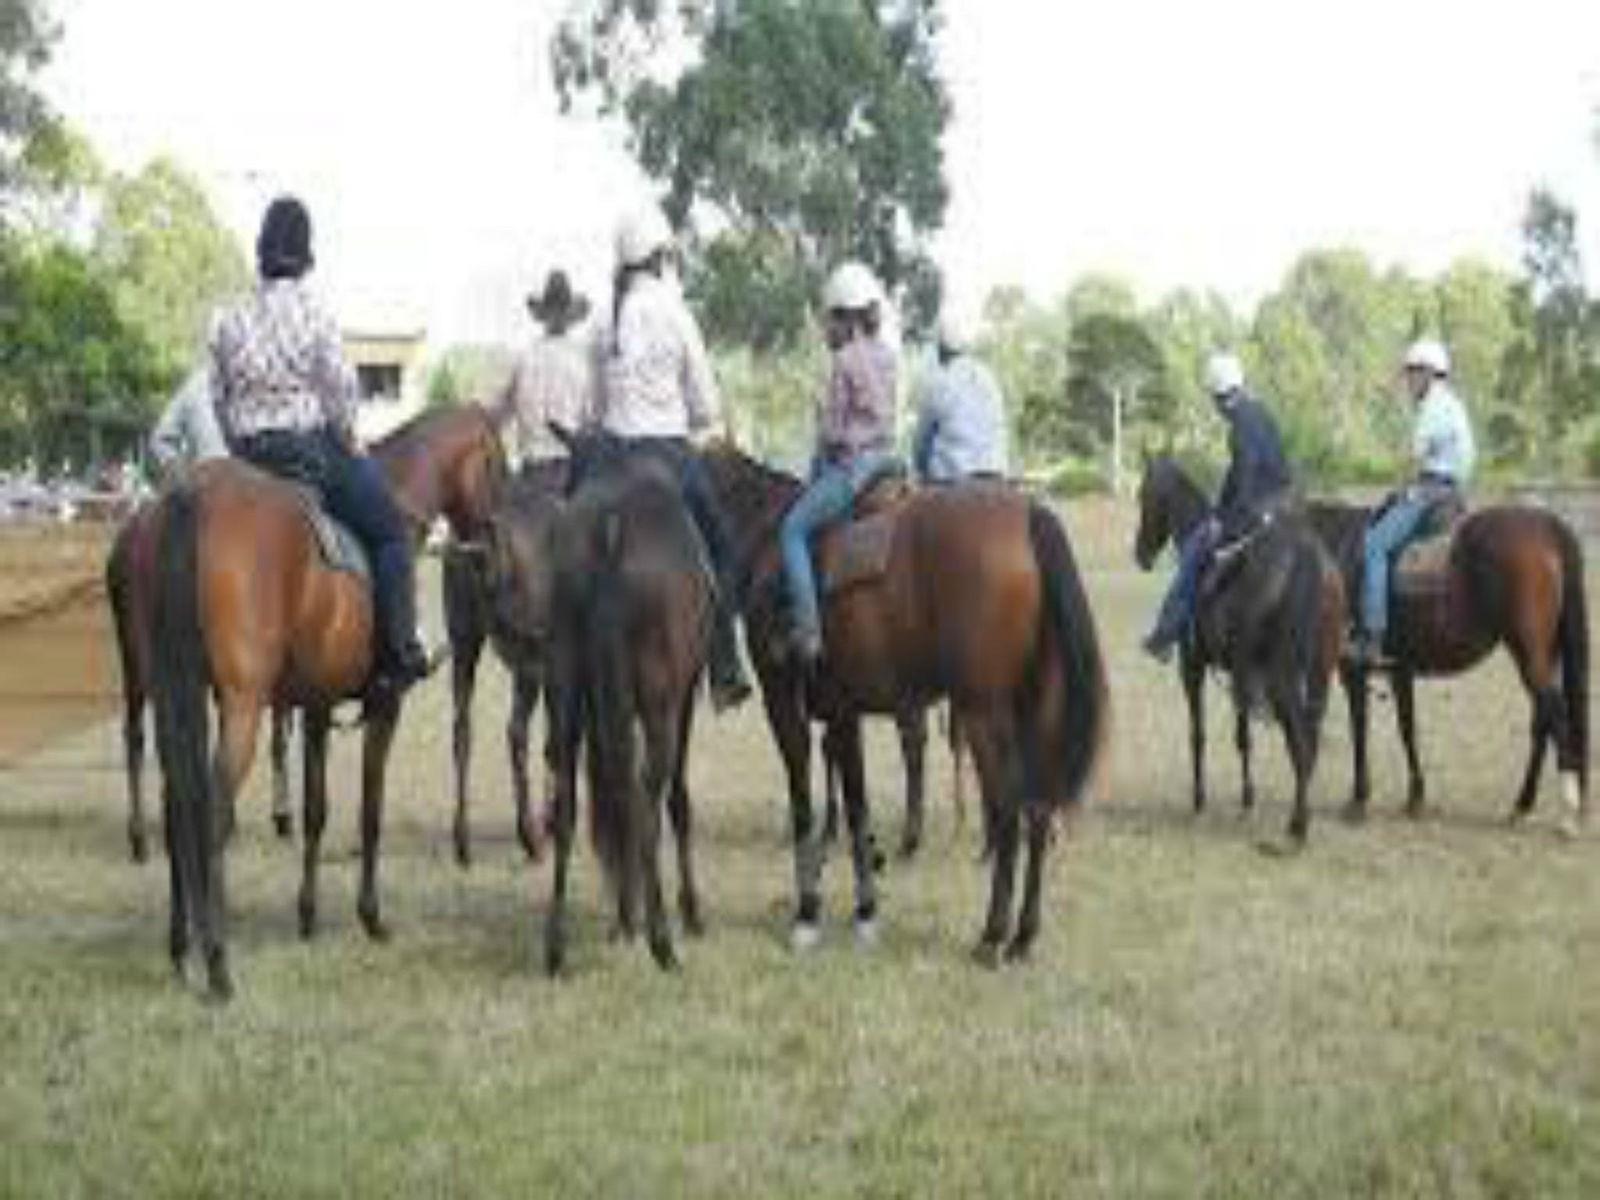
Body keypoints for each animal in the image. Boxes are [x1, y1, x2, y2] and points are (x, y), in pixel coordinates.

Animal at [148, 404, 505, 1004]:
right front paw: (372, 917)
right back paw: (217, 964)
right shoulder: (385, 706)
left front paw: (309, 917)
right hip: (242, 707)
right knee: (211, 814)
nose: (493, 550)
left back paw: (178, 948)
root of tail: (192, 498)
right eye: (499, 464)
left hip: (177, 695)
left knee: (177, 807)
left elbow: (316, 812)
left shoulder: (315, 708)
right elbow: (369, 813)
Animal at [540, 432, 710, 979]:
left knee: (572, 803)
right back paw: (661, 941)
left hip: (566, 689)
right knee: (647, 797)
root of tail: (610, 531)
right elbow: (676, 797)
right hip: (659, 707)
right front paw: (689, 911)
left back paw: (557, 946)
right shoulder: (682, 699)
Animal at [707, 444, 1107, 966]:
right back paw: (1022, 937)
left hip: (984, 712)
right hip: (1034, 709)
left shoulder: (784, 702)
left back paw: (991, 935)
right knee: (1037, 810)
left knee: (1006, 809)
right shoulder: (843, 712)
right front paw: (864, 910)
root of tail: (1028, 516)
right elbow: (856, 804)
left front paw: (808, 913)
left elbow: (804, 804)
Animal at [1132, 457, 1344, 844]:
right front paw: (1247, 798)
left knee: (1298, 736)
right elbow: (1243, 735)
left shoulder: (1193, 667)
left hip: (1280, 675)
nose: (1141, 554)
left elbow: (1199, 734)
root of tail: (1310, 561)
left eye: (1143, 494)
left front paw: (1200, 800)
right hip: (1318, 671)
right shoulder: (1239, 671)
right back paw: (1299, 816)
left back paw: (1298, 824)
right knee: (1310, 736)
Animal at [1305, 499, 1593, 838]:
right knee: (1543, 722)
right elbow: (1407, 727)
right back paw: (1522, 806)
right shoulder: (1400, 669)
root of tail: (1547, 525)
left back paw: (1567, 815)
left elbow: (1360, 729)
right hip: (1543, 656)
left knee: (1556, 716)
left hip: (1529, 654)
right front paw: (1415, 797)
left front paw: (1359, 800)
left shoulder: (1353, 670)